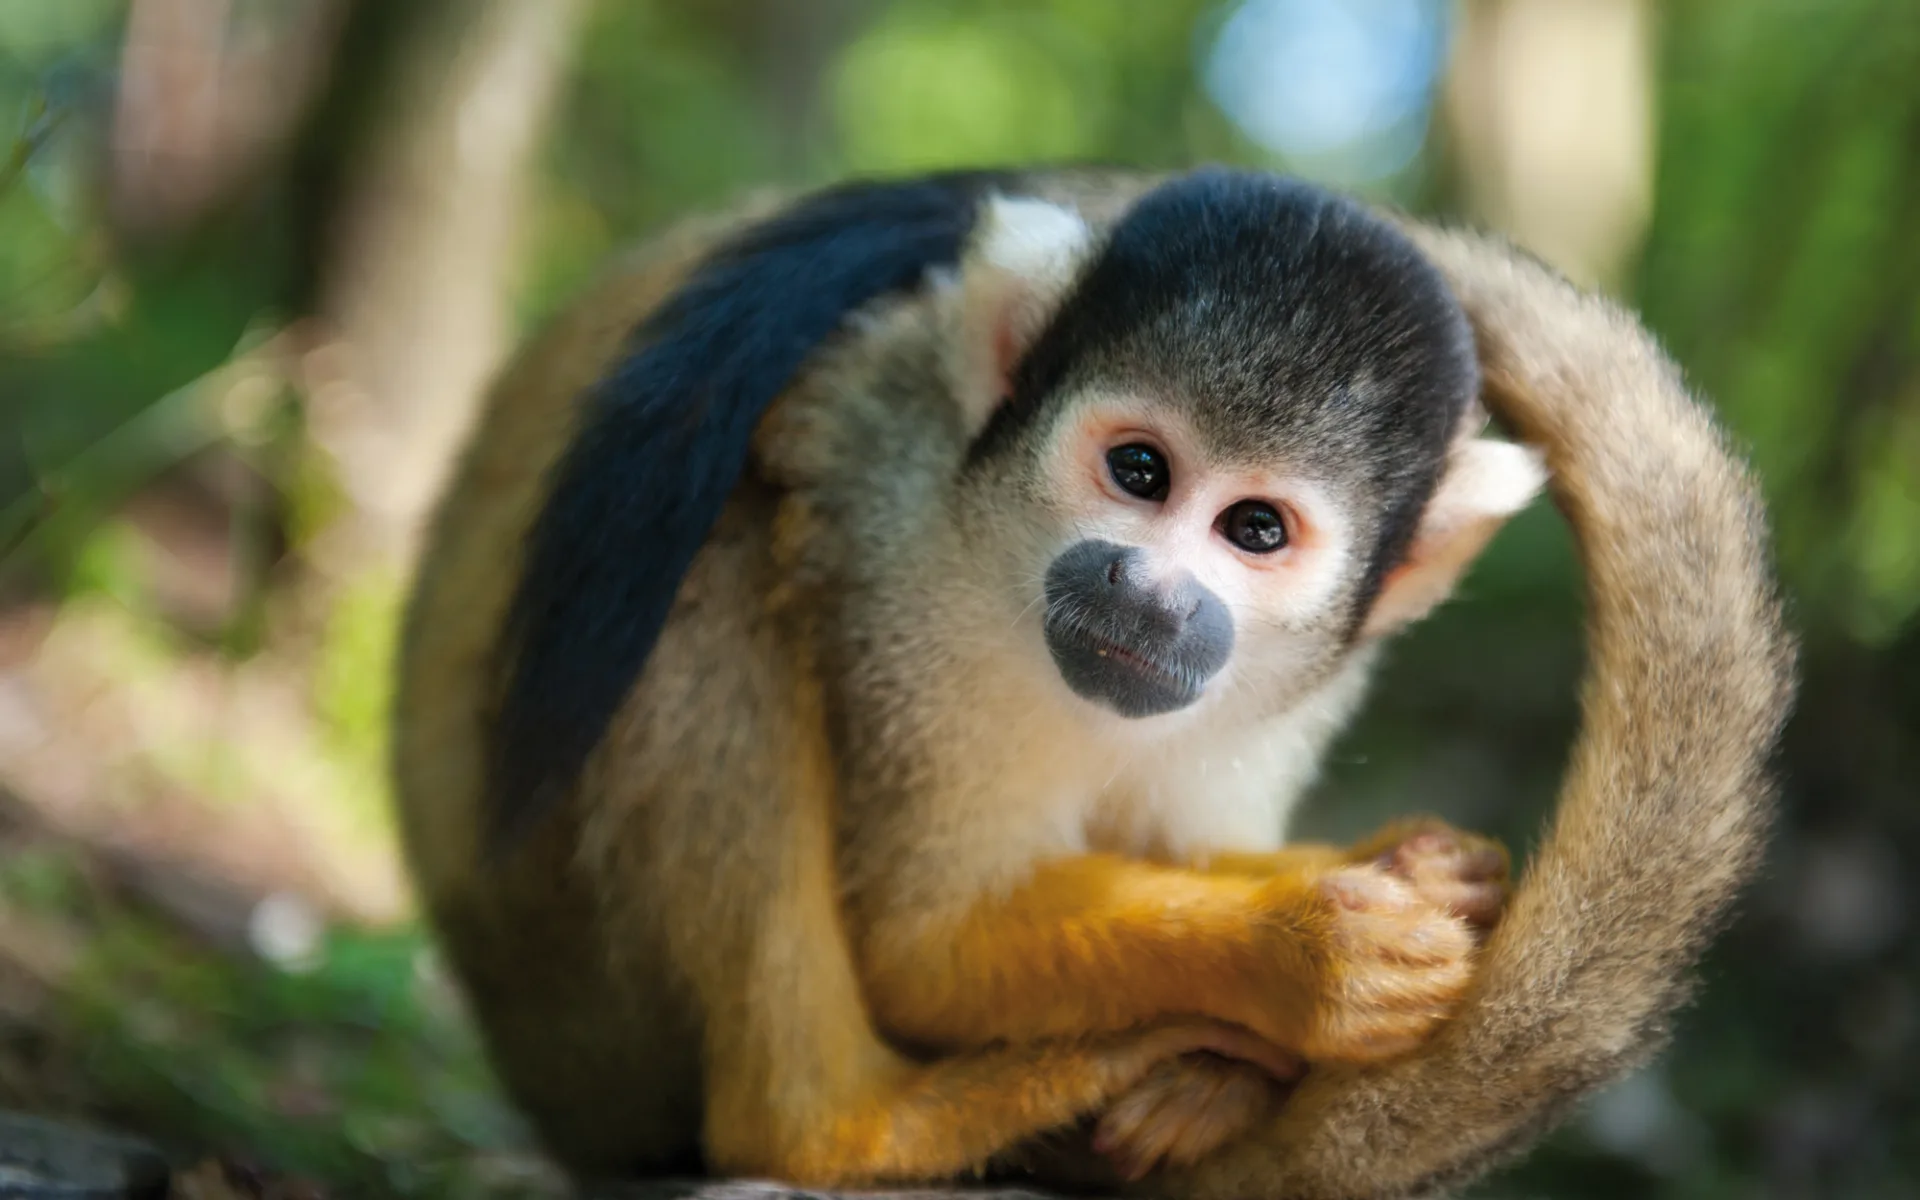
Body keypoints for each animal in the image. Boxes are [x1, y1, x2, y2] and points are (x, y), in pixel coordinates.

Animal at [390, 165, 1794, 1197]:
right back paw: (841, 1128)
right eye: (1139, 471)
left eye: (1256, 531)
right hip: (580, 1004)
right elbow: (924, 939)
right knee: (712, 559)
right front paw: (1301, 954)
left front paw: (1382, 891)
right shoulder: (905, 555)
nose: (1149, 593)